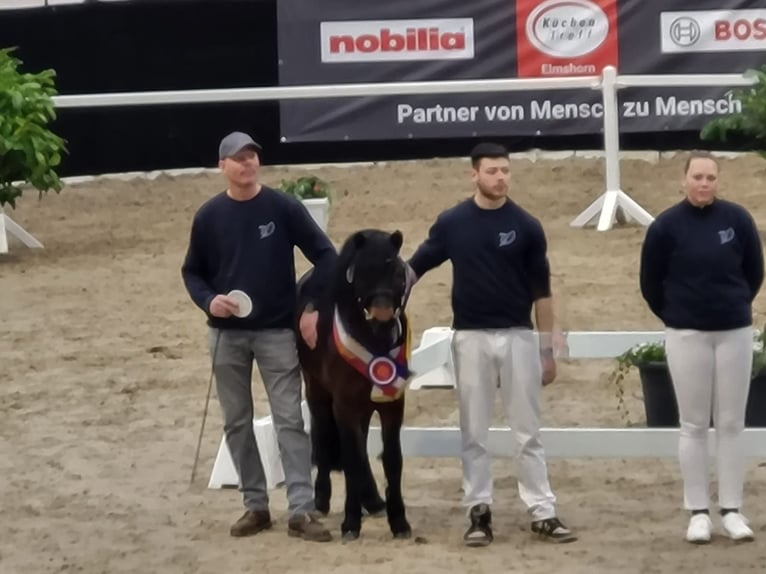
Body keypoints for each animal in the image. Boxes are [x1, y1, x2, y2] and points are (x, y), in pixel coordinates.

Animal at [296, 231, 414, 544]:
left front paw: (399, 522)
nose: (383, 314)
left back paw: (371, 501)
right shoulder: (344, 406)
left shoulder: (391, 405)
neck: (373, 340)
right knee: (324, 438)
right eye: (360, 273)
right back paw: (322, 501)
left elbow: (392, 459)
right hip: (317, 392)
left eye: (397, 270)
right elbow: (352, 459)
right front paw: (350, 523)